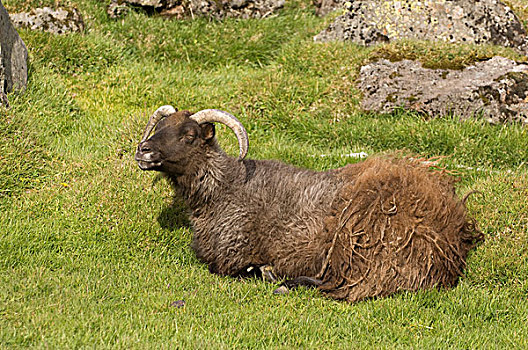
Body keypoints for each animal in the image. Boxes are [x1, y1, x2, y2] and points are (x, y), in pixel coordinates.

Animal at [135, 105, 482, 302]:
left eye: (190, 135)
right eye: (160, 128)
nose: (143, 151)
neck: (225, 188)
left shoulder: (232, 255)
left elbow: (233, 267)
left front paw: (264, 270)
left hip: (360, 232)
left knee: (353, 286)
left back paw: (283, 281)